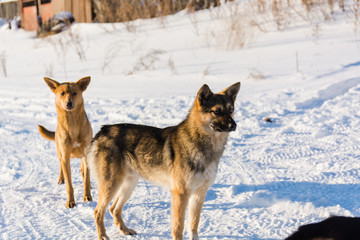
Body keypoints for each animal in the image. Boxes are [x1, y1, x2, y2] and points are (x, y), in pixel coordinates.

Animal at [38, 77, 93, 208]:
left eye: (75, 93)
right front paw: (70, 201)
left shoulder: (86, 152)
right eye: (62, 93)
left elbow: (86, 178)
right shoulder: (65, 155)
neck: (72, 122)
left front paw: (87, 196)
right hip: (60, 153)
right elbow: (69, 183)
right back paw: (60, 179)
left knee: (83, 171)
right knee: (61, 166)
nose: (69, 104)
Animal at [86, 82, 240, 238]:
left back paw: (125, 230)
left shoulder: (199, 193)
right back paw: (103, 236)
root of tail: (102, 130)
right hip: (112, 184)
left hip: (129, 184)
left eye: (231, 110)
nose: (233, 125)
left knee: (114, 209)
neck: (204, 145)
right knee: (98, 211)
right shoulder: (180, 194)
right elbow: (179, 227)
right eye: (217, 111)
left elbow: (194, 225)